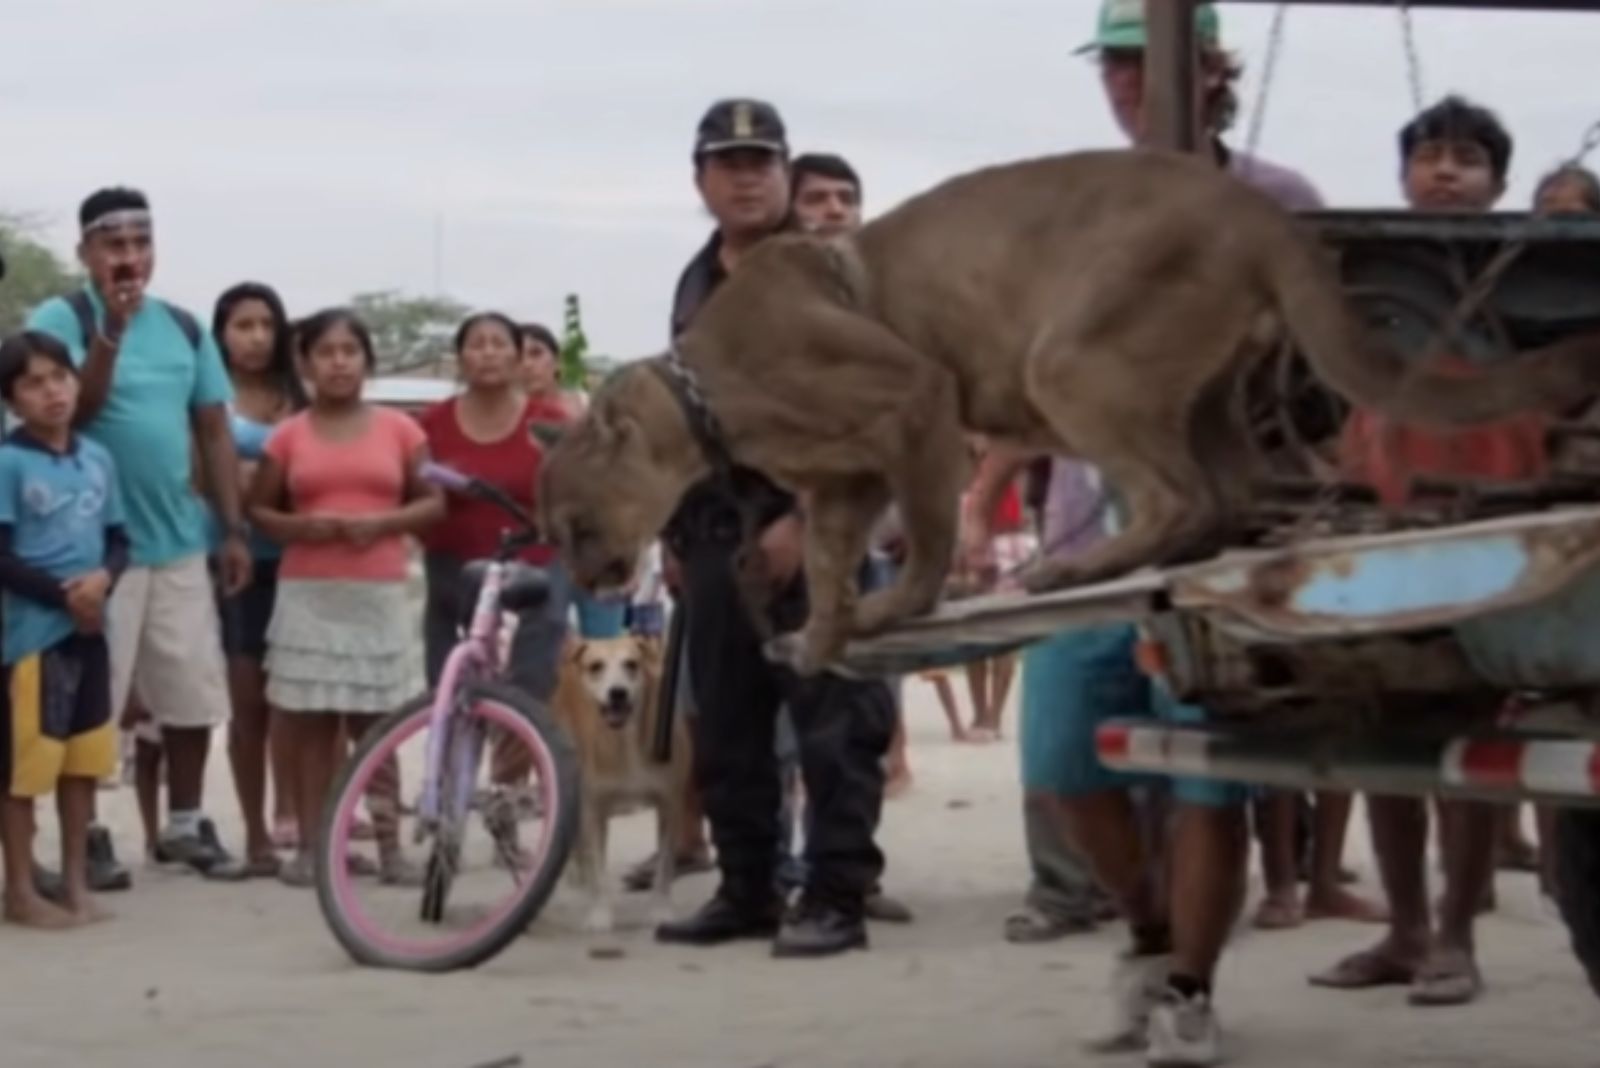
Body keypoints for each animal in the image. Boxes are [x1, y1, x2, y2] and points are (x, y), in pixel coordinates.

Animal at [540, 147, 1600, 674]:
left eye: (575, 520)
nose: (585, 573)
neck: (707, 390)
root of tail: (1263, 212)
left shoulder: (914, 401)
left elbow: (926, 535)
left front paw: (901, 605)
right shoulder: (843, 482)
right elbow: (835, 565)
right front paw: (828, 636)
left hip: (1071, 359)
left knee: (1180, 494)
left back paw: (1070, 566)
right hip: (1205, 392)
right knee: (1228, 492)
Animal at [553, 633, 691, 933]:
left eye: (632, 664)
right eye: (596, 666)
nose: (618, 693)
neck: (626, 740)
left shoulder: (670, 805)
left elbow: (664, 867)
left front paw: (661, 910)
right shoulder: (592, 809)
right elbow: (597, 868)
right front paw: (600, 913)